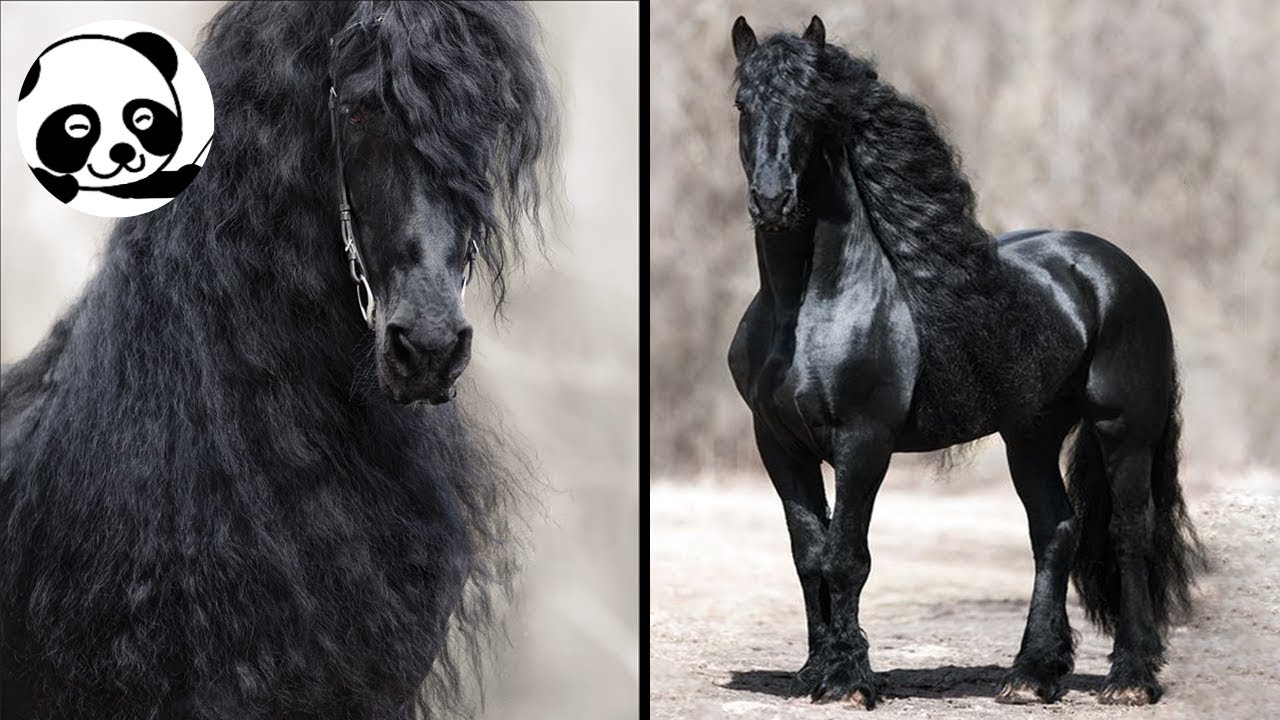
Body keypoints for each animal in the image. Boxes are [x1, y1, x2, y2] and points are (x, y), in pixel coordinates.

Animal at [726, 15, 1204, 709]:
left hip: (1123, 430)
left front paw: (849, 680)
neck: (809, 308)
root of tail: (1115, 269)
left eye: (814, 111)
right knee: (1055, 531)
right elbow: (808, 553)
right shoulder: (779, 444)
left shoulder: (862, 443)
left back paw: (1130, 679)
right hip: (1029, 434)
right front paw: (817, 672)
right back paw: (1031, 675)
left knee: (1129, 534)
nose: (771, 201)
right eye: (743, 104)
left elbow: (847, 556)